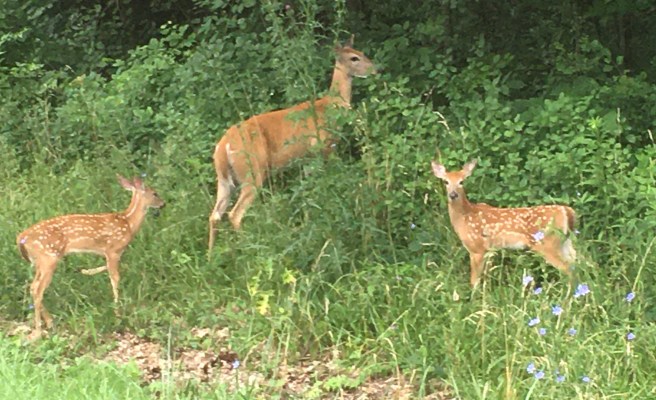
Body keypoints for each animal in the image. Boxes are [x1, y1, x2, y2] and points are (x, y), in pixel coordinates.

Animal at [16, 175, 165, 340]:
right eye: (155, 193)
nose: (163, 204)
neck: (128, 223)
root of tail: (21, 238)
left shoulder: (110, 254)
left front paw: (87, 271)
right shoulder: (113, 250)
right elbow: (115, 279)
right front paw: (117, 311)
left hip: (40, 261)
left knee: (32, 287)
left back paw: (49, 322)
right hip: (49, 257)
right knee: (37, 289)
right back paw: (38, 330)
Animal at [208, 35, 376, 253]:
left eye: (361, 52)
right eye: (354, 58)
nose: (375, 69)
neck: (329, 107)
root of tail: (224, 146)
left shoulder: (306, 159)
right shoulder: (322, 148)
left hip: (224, 178)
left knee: (215, 215)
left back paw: (211, 256)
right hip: (252, 170)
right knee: (235, 214)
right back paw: (250, 249)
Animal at [431, 159, 577, 287]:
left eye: (461, 181)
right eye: (446, 181)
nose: (453, 195)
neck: (465, 217)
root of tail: (566, 211)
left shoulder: (477, 248)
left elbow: (474, 281)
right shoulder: (489, 250)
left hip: (547, 243)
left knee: (568, 268)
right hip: (564, 242)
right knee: (576, 263)